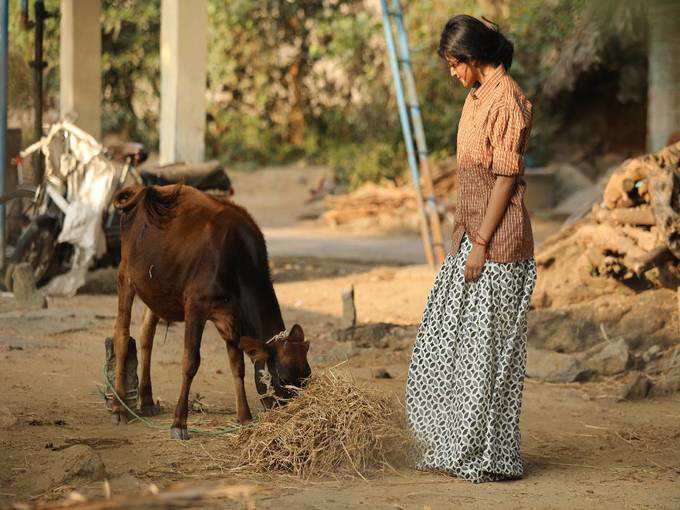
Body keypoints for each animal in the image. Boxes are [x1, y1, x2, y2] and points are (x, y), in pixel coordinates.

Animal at [111, 183, 310, 438]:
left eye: (307, 376)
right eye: (283, 380)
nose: (291, 419)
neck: (236, 258)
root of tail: (142, 188)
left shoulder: (230, 317)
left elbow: (237, 365)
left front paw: (244, 417)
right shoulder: (196, 306)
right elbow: (190, 362)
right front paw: (179, 423)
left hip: (156, 288)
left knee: (146, 335)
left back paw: (146, 401)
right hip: (125, 276)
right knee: (122, 336)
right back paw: (119, 408)